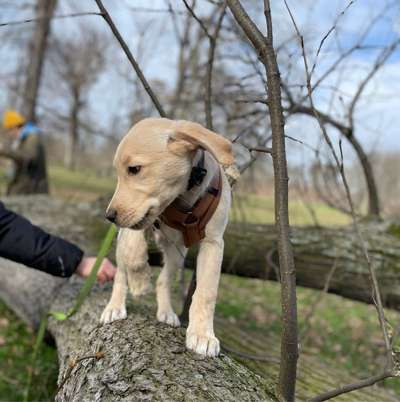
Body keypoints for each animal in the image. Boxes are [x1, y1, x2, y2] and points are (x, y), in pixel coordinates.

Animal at [101, 118, 236, 356]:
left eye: (134, 169)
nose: (110, 216)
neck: (183, 197)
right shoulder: (133, 224)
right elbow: (135, 256)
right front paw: (139, 282)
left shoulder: (213, 243)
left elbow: (207, 292)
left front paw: (202, 335)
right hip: (123, 244)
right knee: (120, 274)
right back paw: (115, 306)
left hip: (176, 253)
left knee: (163, 280)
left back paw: (166, 312)